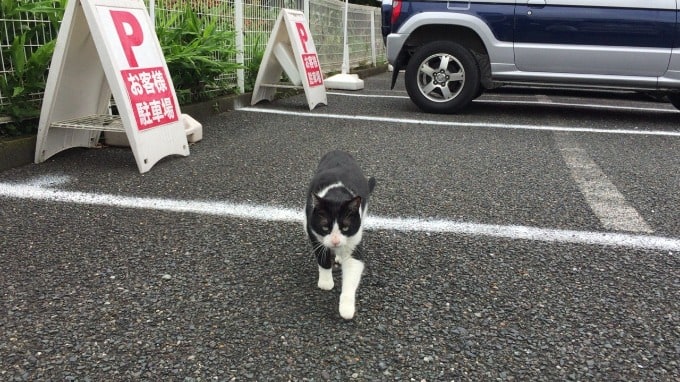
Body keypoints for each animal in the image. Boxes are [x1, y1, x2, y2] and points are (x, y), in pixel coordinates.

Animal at [304, 149, 374, 320]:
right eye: (325, 227)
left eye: (345, 227)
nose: (335, 241)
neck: (336, 196)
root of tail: (338, 151)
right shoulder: (313, 232)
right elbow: (322, 258)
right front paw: (326, 282)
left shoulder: (355, 240)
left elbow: (352, 272)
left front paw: (346, 308)